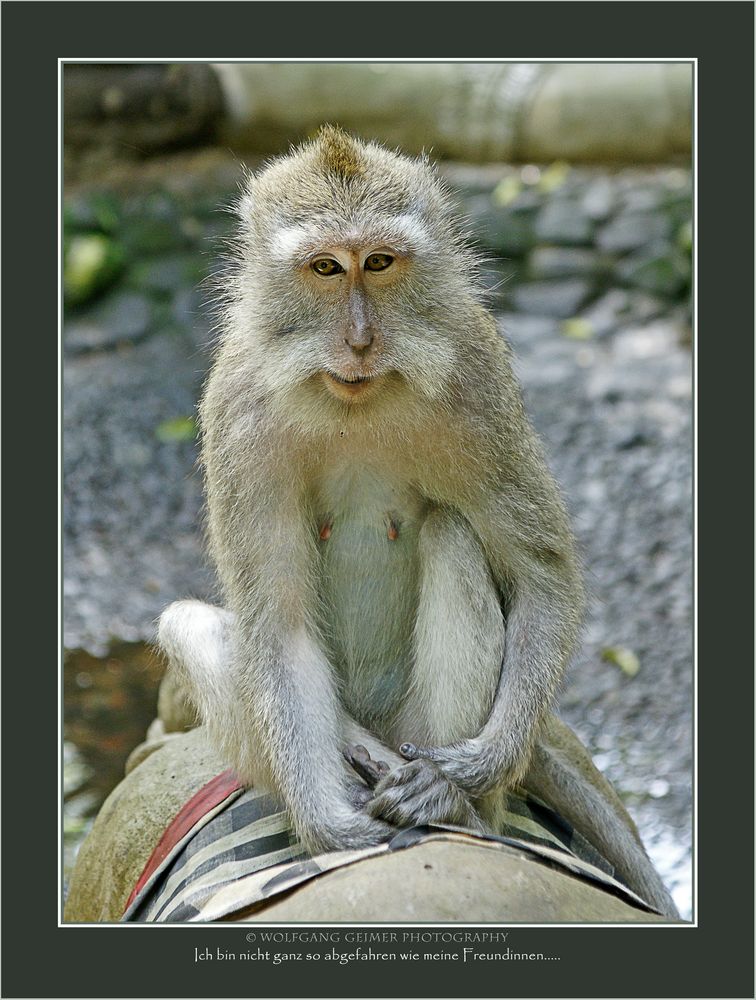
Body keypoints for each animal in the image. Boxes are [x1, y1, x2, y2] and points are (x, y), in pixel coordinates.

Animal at [159, 129, 680, 916]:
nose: (360, 340)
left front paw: (474, 767)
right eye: (325, 267)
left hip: (419, 730)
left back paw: (453, 804)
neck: (355, 398)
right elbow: (278, 624)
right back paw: (357, 757)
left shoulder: (476, 382)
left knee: (453, 535)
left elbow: (541, 574)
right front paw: (333, 829)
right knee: (193, 627)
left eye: (378, 263)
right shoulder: (238, 412)